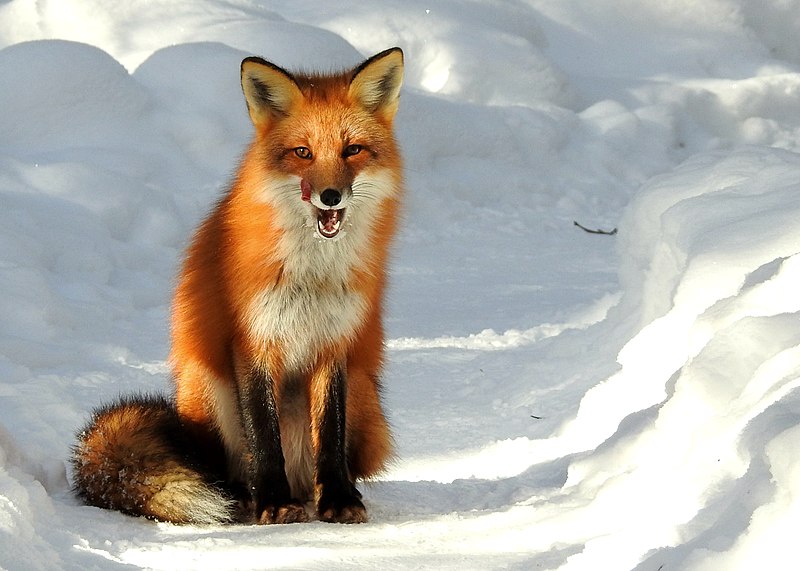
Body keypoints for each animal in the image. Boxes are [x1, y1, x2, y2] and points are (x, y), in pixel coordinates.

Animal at [71, 49, 404, 528]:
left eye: (352, 150)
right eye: (303, 153)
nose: (330, 196)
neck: (311, 275)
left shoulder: (333, 343)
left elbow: (330, 433)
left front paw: (339, 499)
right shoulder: (253, 339)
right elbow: (263, 434)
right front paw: (273, 503)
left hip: (363, 393)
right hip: (209, 389)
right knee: (227, 467)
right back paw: (243, 497)